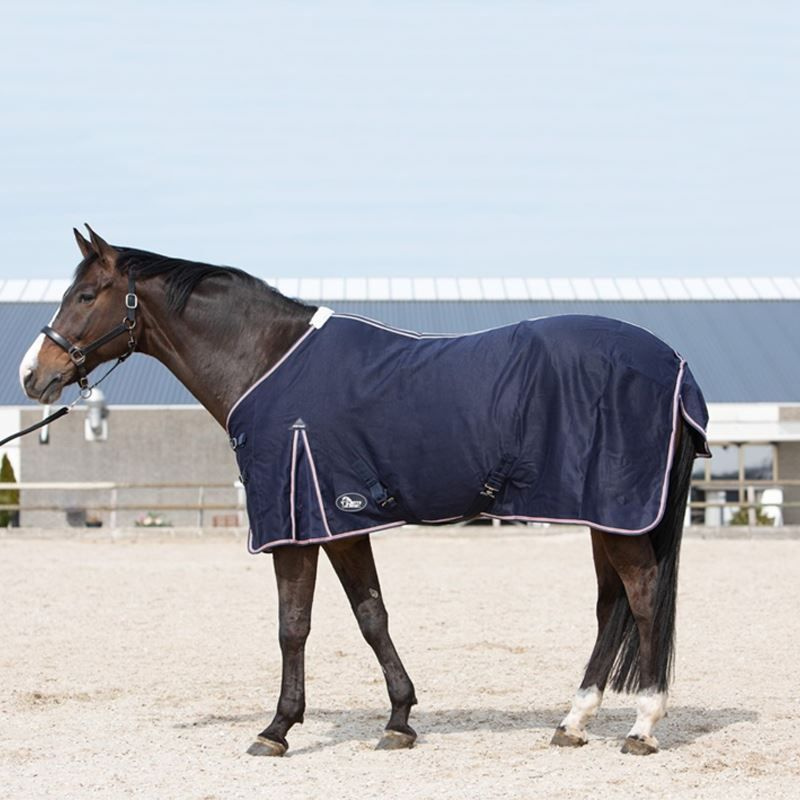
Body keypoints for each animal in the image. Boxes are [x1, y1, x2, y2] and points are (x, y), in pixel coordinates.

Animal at [19, 226, 708, 757]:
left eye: (85, 294)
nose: (32, 375)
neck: (265, 360)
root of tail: (674, 365)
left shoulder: (295, 524)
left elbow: (292, 626)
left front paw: (277, 728)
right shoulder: (341, 522)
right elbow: (371, 615)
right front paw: (399, 720)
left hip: (618, 513)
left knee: (642, 598)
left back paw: (642, 726)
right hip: (605, 516)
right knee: (611, 605)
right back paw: (573, 721)